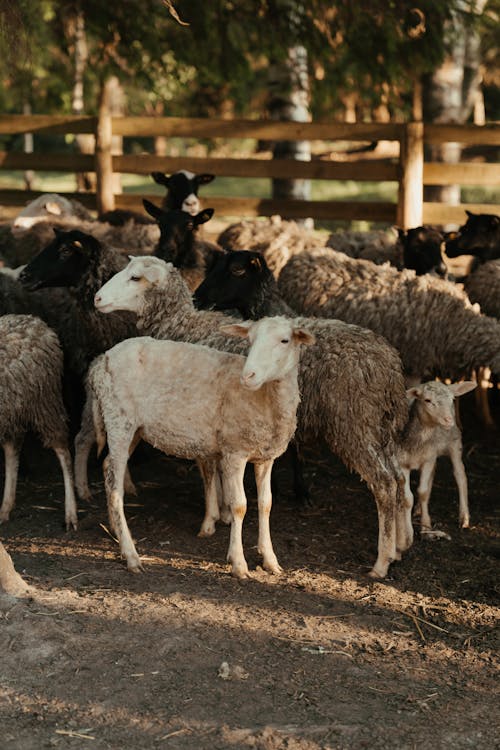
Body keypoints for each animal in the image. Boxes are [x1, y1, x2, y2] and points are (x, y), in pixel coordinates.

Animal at [0, 314, 77, 532]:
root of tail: (37, 321)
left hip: (46, 402)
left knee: (63, 450)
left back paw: (71, 513)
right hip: (13, 411)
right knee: (12, 448)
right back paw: (5, 507)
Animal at [85, 316, 312, 576]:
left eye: (285, 340)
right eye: (250, 340)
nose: (248, 375)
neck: (266, 399)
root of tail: (102, 360)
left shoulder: (266, 457)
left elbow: (266, 504)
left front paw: (270, 560)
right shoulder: (234, 451)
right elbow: (239, 506)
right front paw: (238, 563)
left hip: (134, 428)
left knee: (107, 467)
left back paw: (115, 528)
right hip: (118, 418)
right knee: (115, 488)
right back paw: (131, 554)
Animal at [398, 384, 476, 536]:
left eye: (452, 399)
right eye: (427, 400)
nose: (448, 420)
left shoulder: (428, 460)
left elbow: (422, 492)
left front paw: (426, 526)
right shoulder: (402, 462)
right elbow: (408, 498)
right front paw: (408, 531)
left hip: (454, 443)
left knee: (460, 475)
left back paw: (464, 518)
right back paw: (418, 510)